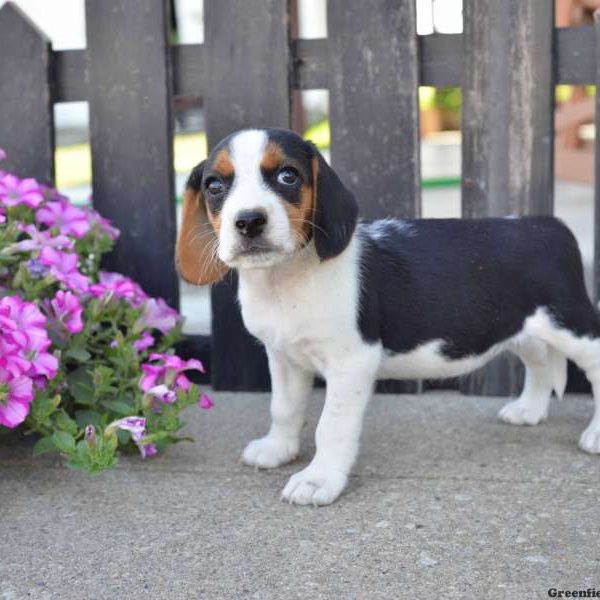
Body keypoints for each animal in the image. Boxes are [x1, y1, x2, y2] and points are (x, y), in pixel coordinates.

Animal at [176, 127, 600, 506]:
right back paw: (529, 410)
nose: (249, 221)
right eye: (215, 187)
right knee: (539, 364)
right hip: (523, 326)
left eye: (287, 176)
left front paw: (319, 480)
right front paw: (277, 449)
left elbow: (331, 427)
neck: (284, 279)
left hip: (570, 325)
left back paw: (594, 435)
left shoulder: (351, 364)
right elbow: (283, 408)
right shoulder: (283, 358)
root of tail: (547, 224)